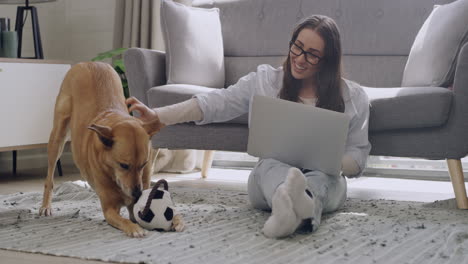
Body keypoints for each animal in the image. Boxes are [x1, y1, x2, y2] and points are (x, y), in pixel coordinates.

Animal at [38, 61, 174, 237]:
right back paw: (46, 206)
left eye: (143, 165)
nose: (137, 194)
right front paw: (135, 228)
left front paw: (176, 221)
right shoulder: (109, 209)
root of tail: (90, 63)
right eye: (123, 165)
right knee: (50, 176)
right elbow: (124, 220)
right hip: (57, 136)